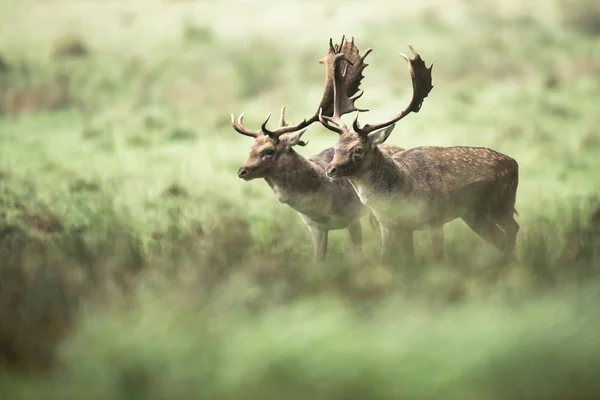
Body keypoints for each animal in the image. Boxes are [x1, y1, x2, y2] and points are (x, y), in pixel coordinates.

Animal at [232, 36, 406, 262]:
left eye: (269, 151)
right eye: (251, 147)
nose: (242, 171)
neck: (320, 206)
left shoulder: (353, 217)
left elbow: (358, 254)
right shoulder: (315, 227)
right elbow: (318, 259)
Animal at [318, 40, 520, 266]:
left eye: (358, 150)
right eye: (336, 146)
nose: (331, 169)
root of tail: (514, 163)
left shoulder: (434, 219)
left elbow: (436, 257)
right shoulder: (389, 225)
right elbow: (388, 258)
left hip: (502, 202)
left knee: (512, 230)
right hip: (474, 214)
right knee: (500, 238)